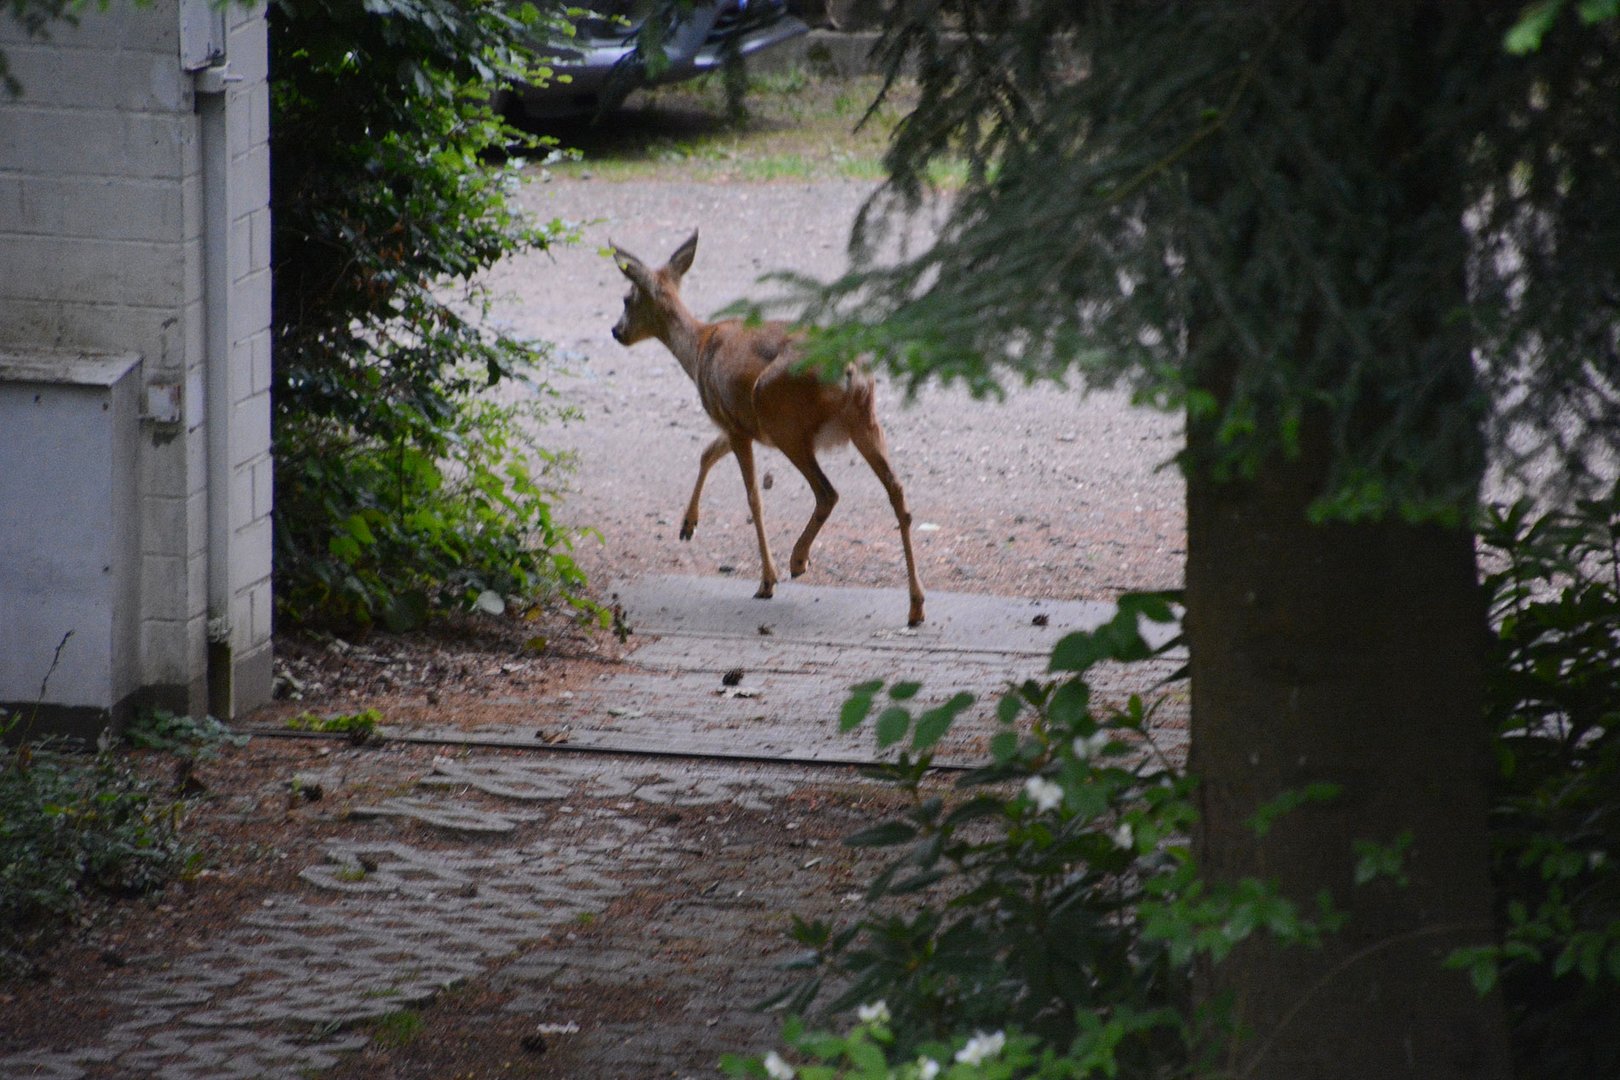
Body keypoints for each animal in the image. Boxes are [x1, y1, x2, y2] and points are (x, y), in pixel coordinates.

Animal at [609, 233, 926, 628]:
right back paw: (915, 607)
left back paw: (797, 560)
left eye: (627, 298)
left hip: (785, 421)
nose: (616, 331)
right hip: (863, 422)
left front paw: (766, 580)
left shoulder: (735, 422)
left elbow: (752, 498)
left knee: (828, 492)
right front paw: (687, 525)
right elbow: (707, 453)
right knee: (898, 494)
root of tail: (850, 371)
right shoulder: (739, 422)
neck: (697, 348)